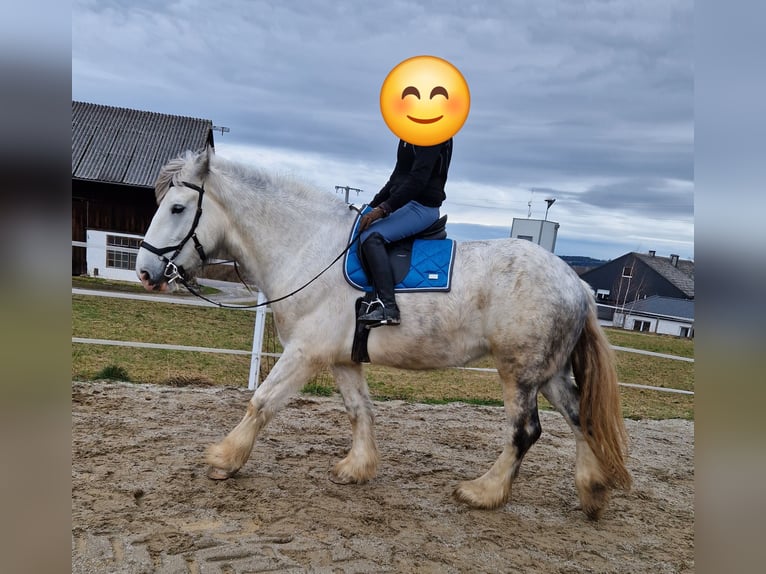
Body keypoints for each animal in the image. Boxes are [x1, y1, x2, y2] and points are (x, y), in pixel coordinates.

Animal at [136, 147, 632, 520]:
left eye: (177, 208)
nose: (145, 272)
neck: (309, 248)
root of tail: (577, 284)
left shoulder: (304, 353)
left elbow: (261, 402)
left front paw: (225, 459)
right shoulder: (341, 359)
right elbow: (361, 411)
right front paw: (357, 468)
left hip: (520, 373)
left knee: (525, 431)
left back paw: (483, 492)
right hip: (548, 373)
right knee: (581, 418)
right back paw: (592, 493)